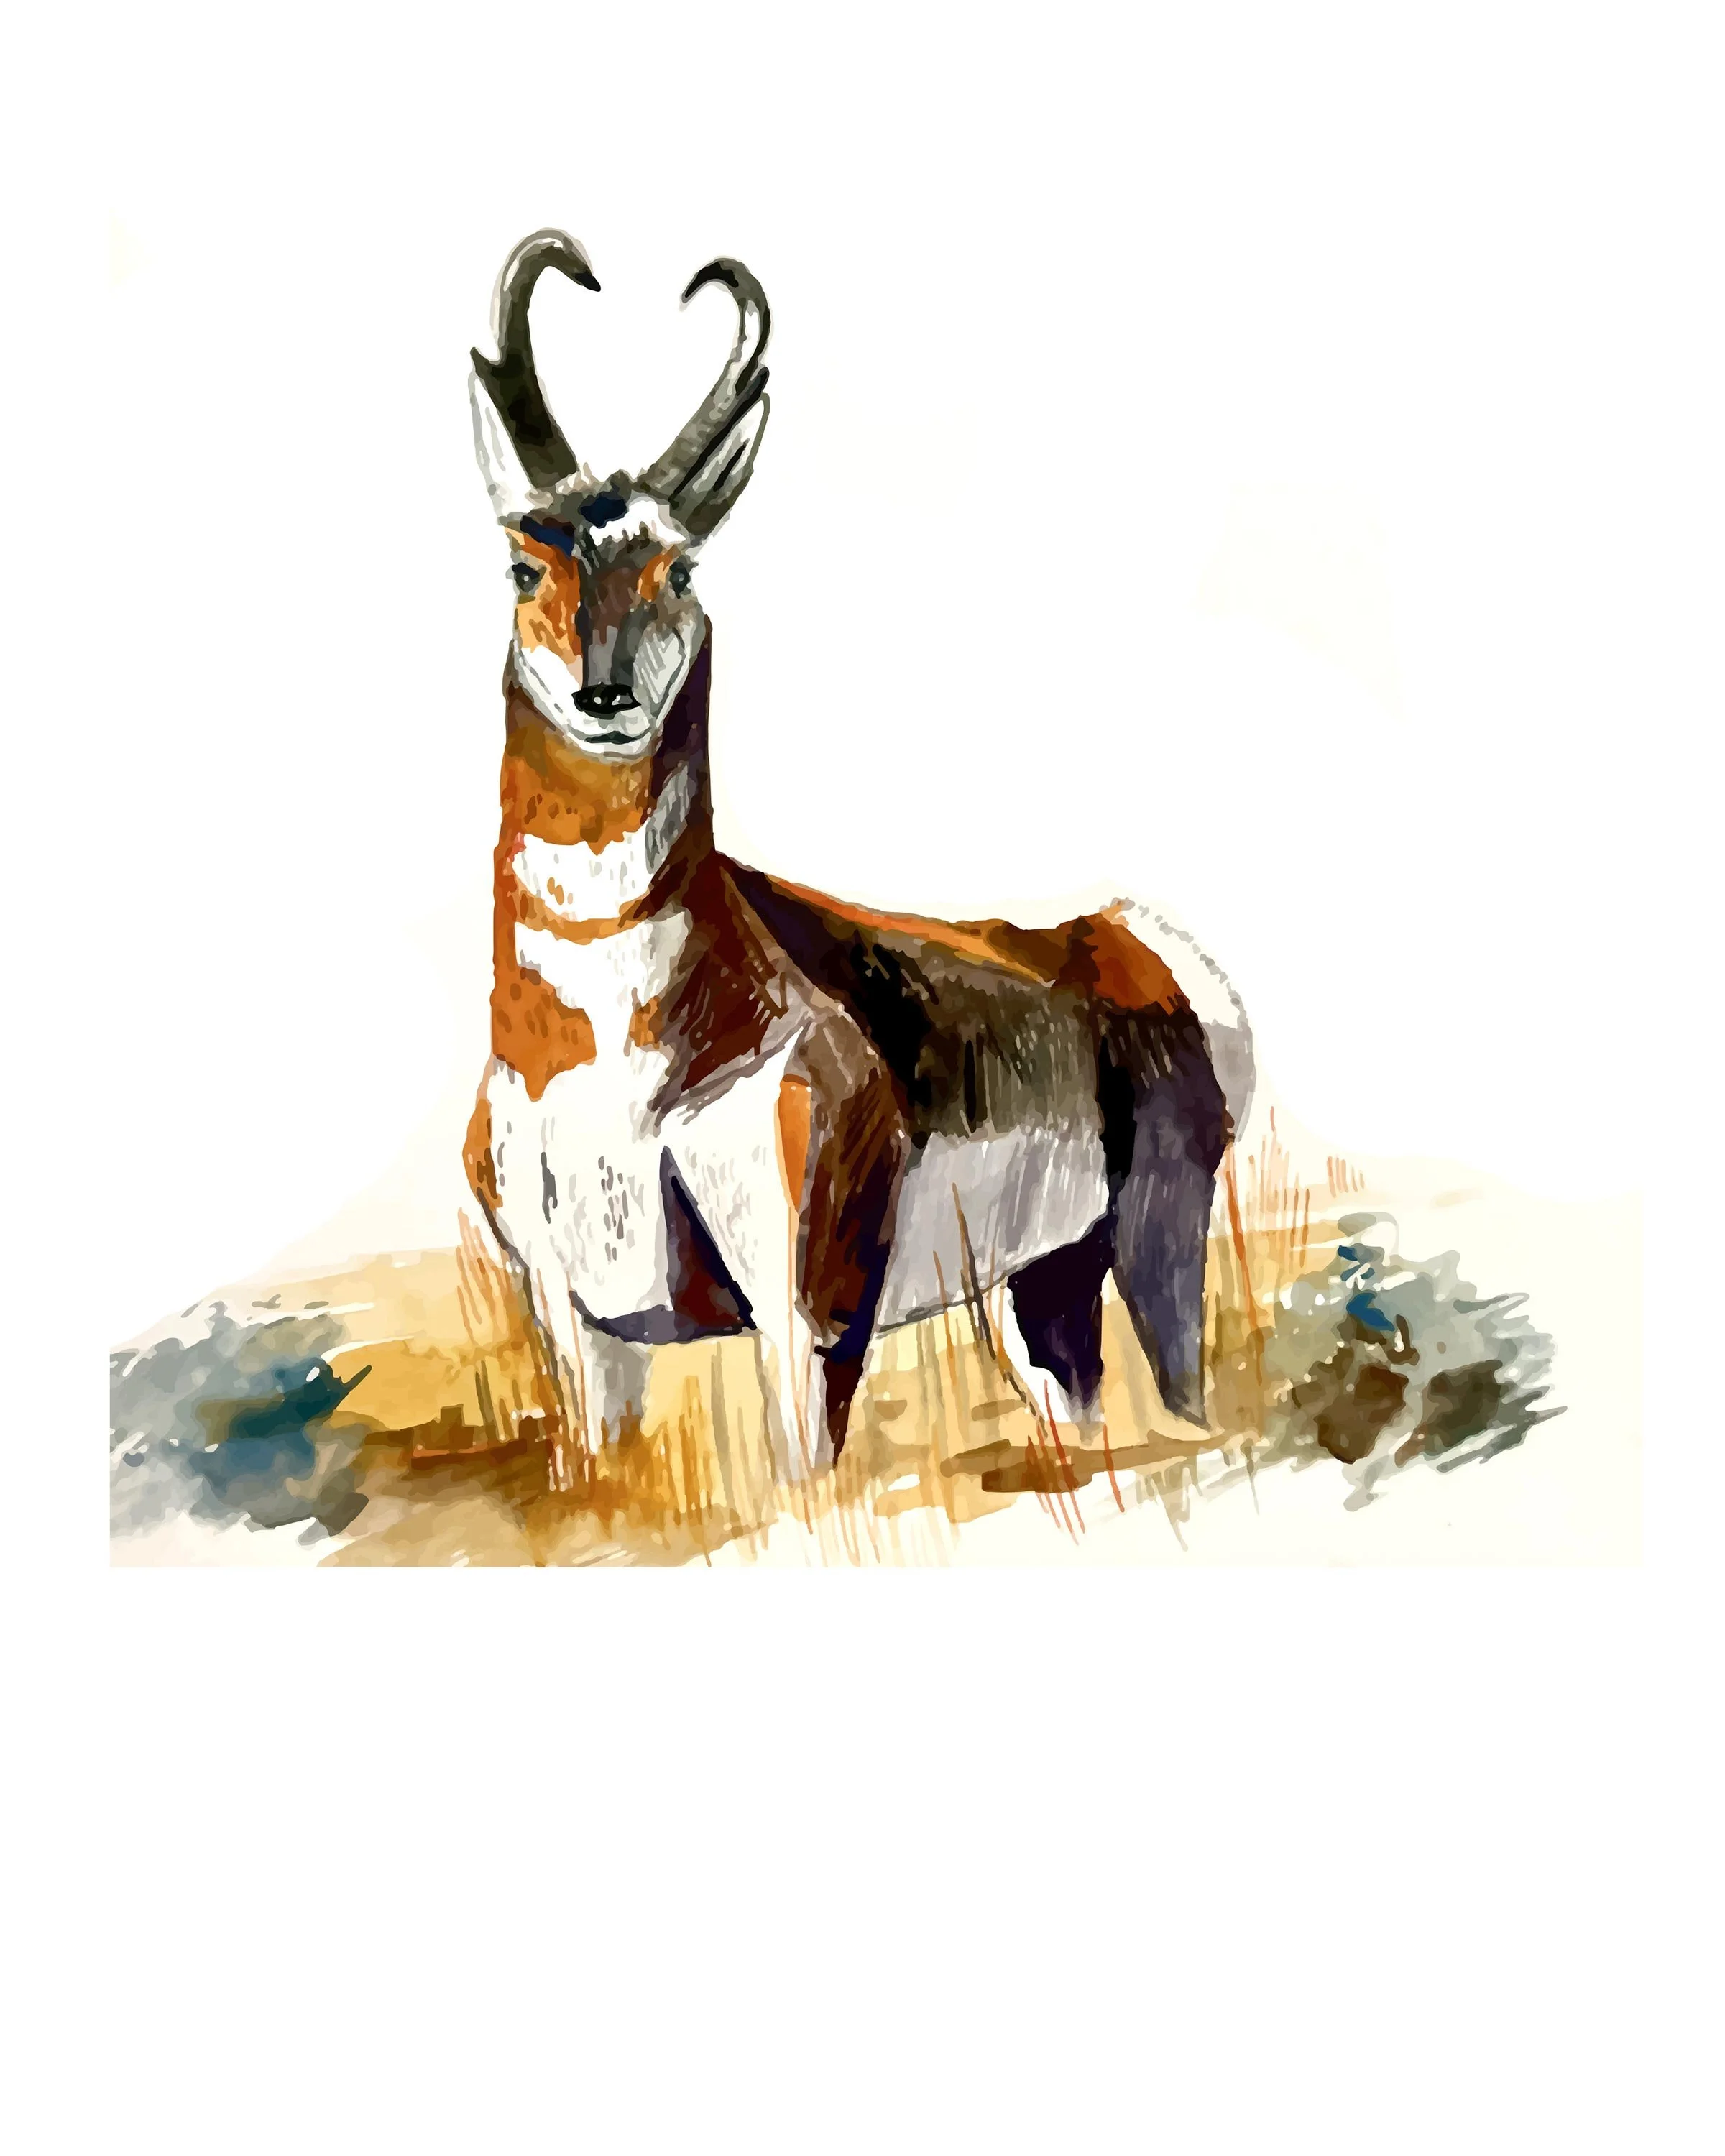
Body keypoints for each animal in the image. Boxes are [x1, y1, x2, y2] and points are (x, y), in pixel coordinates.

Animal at [463, 230, 1252, 1484]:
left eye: (680, 572)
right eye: (525, 567)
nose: (604, 696)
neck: (614, 1060)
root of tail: (1123, 934)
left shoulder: (810, 1315)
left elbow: (803, 1486)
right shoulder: (576, 1320)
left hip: (1158, 1241)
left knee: (1189, 1397)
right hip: (1044, 1285)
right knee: (1074, 1394)